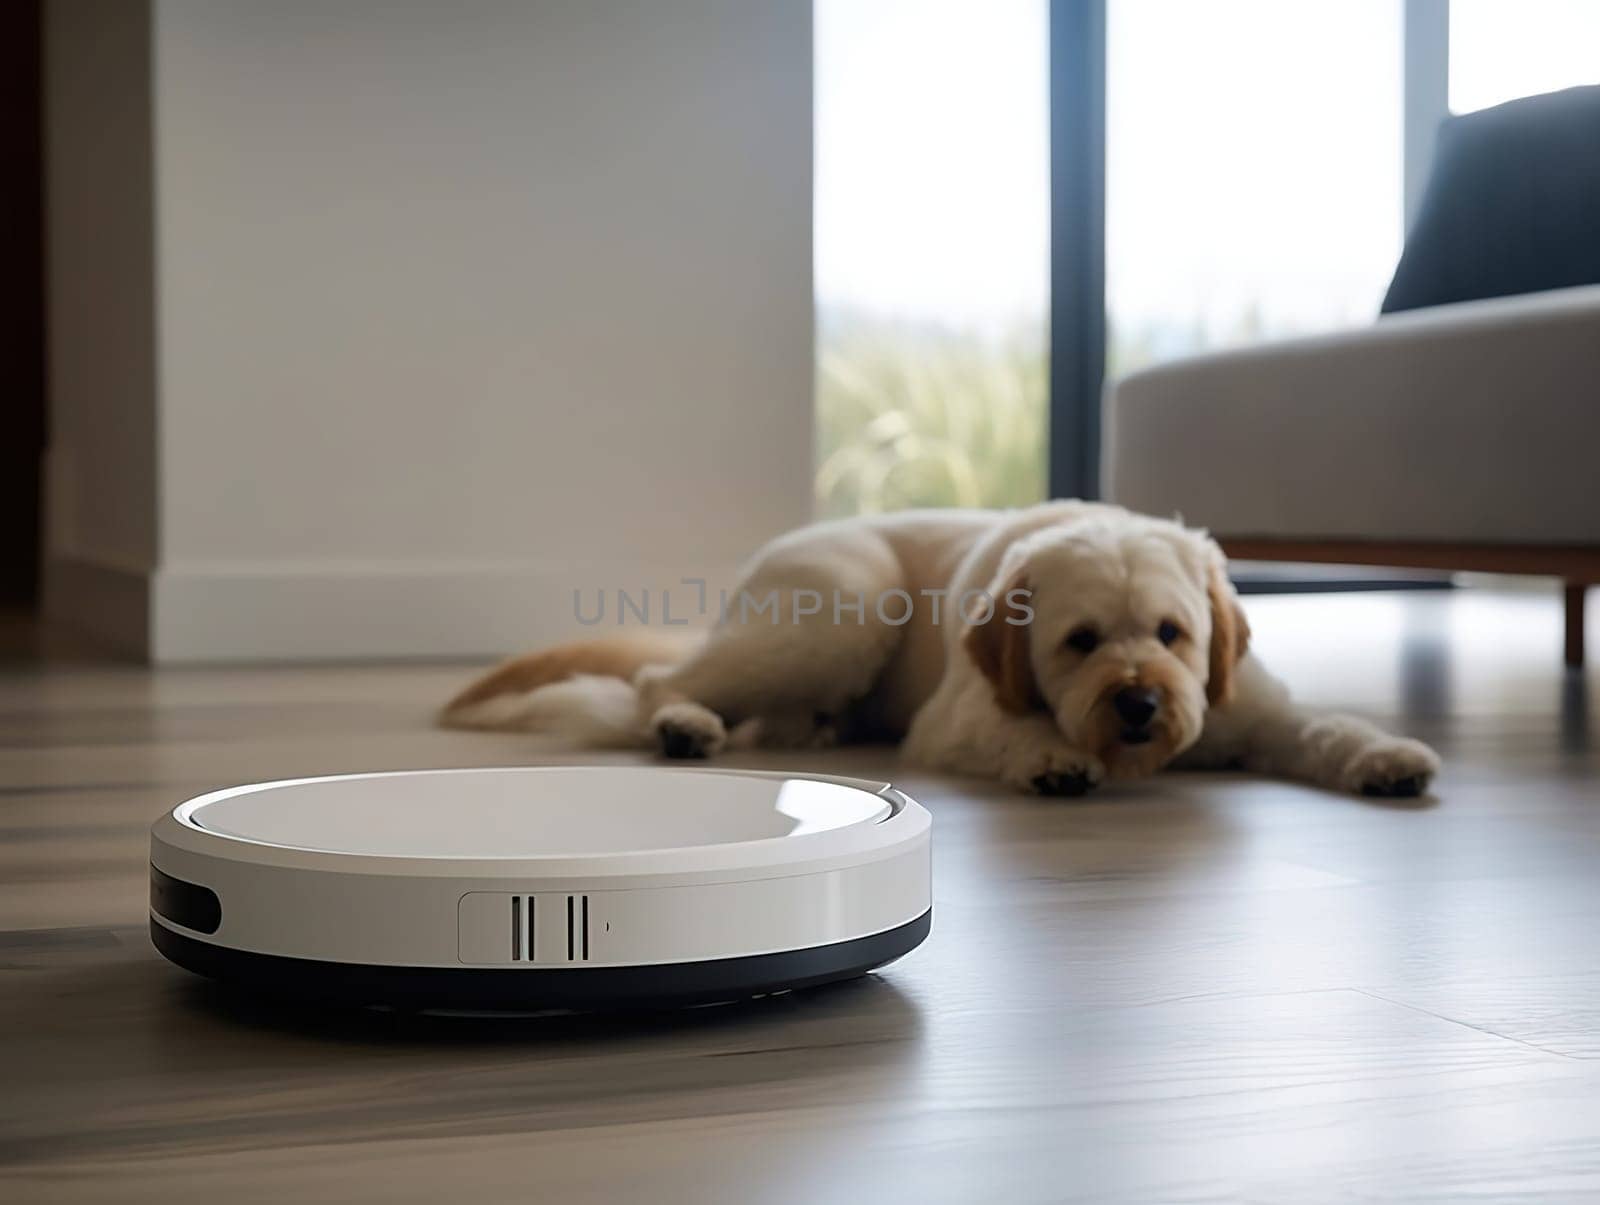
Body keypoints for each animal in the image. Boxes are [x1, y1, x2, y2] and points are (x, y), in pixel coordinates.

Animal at [444, 499, 1446, 800]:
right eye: (1080, 642)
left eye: (1174, 633)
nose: (1138, 702)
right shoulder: (953, 718)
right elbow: (1010, 731)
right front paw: (1051, 755)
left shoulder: (1252, 706)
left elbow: (1322, 727)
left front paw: (1385, 754)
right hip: (846, 607)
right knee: (660, 680)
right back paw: (684, 724)